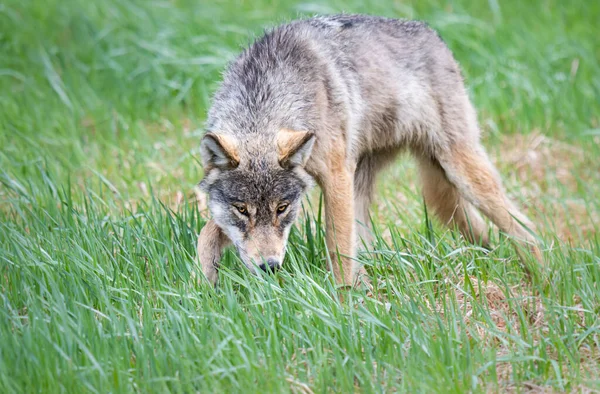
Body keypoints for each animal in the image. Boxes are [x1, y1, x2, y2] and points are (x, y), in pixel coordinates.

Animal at [196, 14, 544, 286]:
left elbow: (337, 248)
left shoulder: (335, 176)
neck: (268, 95)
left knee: (525, 228)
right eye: (242, 210)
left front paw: (341, 307)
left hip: (462, 173)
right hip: (390, 187)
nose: (270, 267)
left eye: (282, 208)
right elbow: (206, 235)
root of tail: (433, 34)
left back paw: (544, 281)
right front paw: (204, 289)